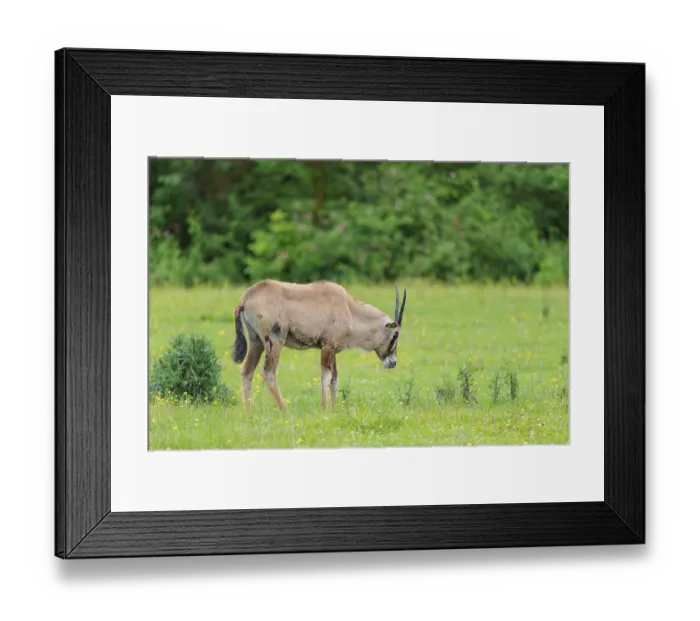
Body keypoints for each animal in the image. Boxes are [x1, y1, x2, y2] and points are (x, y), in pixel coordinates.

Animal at [232, 280, 407, 410]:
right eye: (396, 334)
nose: (393, 362)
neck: (349, 308)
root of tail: (246, 297)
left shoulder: (333, 349)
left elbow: (335, 379)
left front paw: (335, 409)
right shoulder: (327, 346)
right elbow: (326, 377)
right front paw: (324, 408)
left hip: (256, 342)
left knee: (247, 371)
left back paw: (249, 411)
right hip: (274, 342)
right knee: (268, 372)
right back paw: (285, 410)